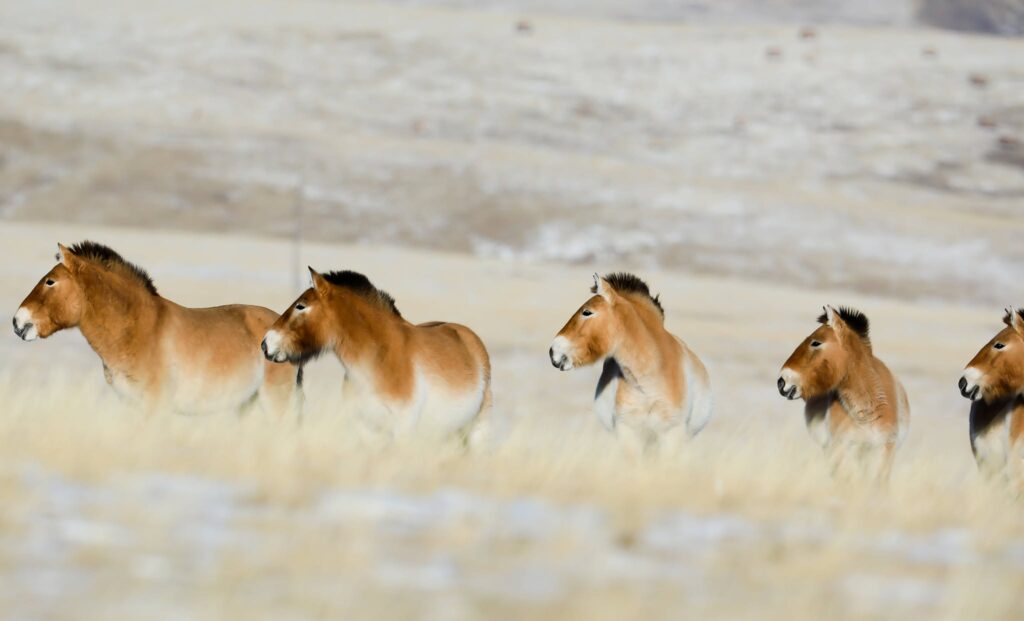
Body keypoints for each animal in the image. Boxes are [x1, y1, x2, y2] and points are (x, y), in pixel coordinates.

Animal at [261, 268, 492, 446]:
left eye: (301, 306)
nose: (265, 344)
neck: (376, 362)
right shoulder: (365, 429)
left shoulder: (403, 429)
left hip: (477, 430)